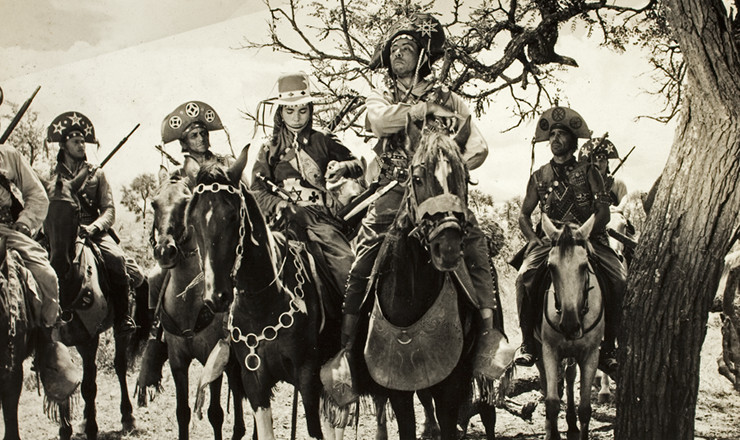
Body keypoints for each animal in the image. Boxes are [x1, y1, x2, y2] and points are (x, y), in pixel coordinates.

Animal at [43, 168, 149, 440]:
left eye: (75, 211)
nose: (59, 265)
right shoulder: (56, 340)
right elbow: (62, 386)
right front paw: (66, 429)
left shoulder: (89, 340)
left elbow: (89, 386)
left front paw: (92, 427)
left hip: (121, 329)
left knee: (119, 366)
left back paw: (127, 417)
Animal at [147, 176, 246, 440]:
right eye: (154, 203)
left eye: (185, 203)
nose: (164, 250)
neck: (188, 303)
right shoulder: (177, 361)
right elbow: (182, 412)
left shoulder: (213, 358)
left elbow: (215, 413)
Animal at [186, 149, 340, 440]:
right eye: (193, 221)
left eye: (232, 217)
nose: (216, 297)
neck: (263, 301)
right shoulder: (254, 380)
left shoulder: (307, 375)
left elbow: (315, 429)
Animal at [536, 214, 604, 440]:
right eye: (550, 267)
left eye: (584, 266)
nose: (569, 324)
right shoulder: (549, 350)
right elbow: (552, 402)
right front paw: (553, 433)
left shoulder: (591, 354)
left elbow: (585, 408)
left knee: (569, 377)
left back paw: (572, 426)